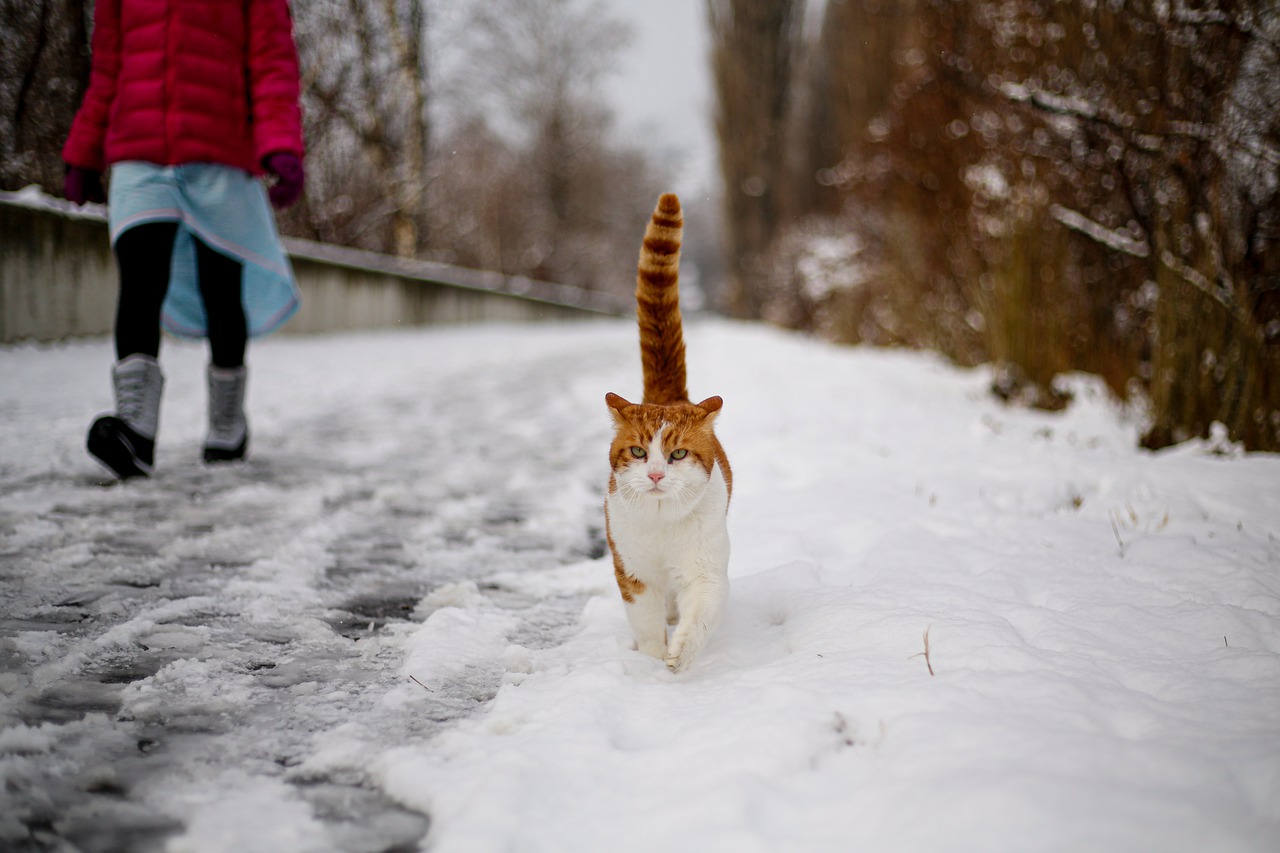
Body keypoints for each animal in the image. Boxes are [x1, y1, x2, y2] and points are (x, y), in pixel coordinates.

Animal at [606, 194, 737, 671]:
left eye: (677, 454)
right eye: (639, 453)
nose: (657, 475)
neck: (662, 524)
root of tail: (670, 395)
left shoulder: (706, 570)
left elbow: (699, 613)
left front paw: (679, 654)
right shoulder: (633, 571)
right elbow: (645, 622)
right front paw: (649, 660)